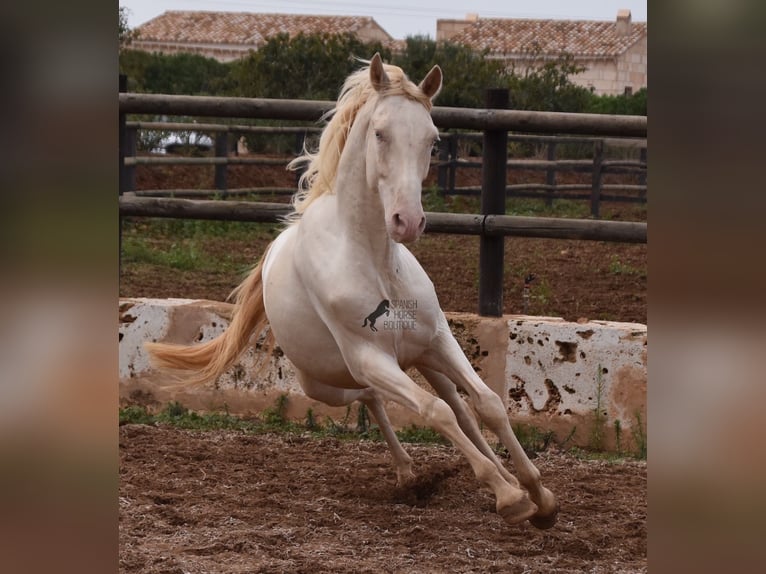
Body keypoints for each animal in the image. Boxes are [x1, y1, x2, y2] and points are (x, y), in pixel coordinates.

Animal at [147, 55, 560, 532]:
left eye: (433, 140)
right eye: (380, 133)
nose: (407, 221)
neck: (376, 264)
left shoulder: (439, 339)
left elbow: (488, 403)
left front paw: (540, 497)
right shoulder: (369, 358)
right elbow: (431, 410)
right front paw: (509, 497)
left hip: (421, 360)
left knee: (458, 406)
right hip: (327, 383)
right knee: (377, 398)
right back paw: (411, 475)